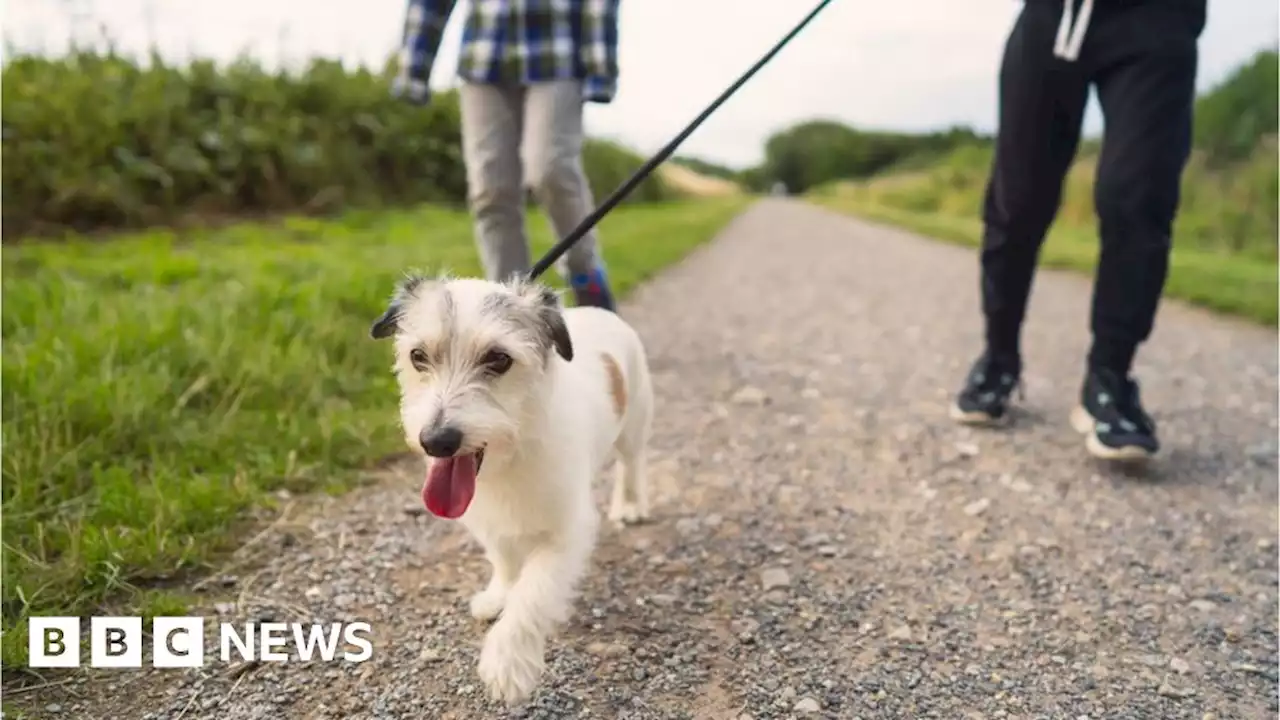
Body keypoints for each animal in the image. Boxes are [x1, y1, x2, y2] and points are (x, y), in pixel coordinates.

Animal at [368, 272, 650, 702]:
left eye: (498, 359)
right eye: (418, 356)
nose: (436, 441)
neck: (514, 452)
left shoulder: (566, 533)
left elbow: (533, 591)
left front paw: (507, 660)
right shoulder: (487, 521)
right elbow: (503, 559)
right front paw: (498, 596)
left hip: (633, 428)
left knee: (631, 465)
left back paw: (630, 504)